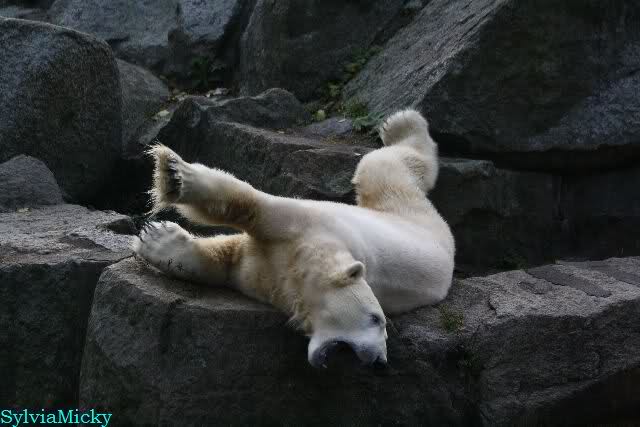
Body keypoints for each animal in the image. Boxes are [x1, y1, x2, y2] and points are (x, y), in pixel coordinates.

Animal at [133, 109, 455, 368]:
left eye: (383, 323)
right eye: (376, 318)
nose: (380, 362)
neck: (300, 266)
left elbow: (233, 247)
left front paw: (157, 234)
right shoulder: (299, 234)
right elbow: (247, 217)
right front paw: (172, 180)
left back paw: (401, 125)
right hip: (405, 214)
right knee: (379, 166)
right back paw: (402, 124)